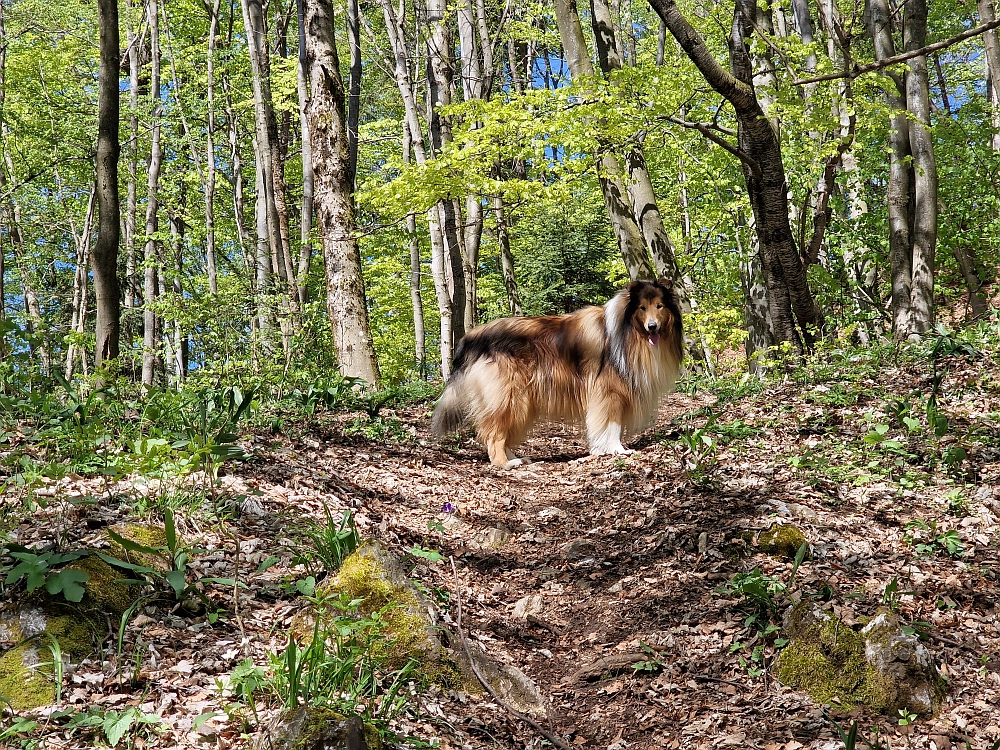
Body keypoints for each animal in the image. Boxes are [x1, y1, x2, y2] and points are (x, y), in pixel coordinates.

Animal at [434, 282, 684, 470]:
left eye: (660, 306)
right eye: (642, 307)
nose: (652, 327)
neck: (627, 331)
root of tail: (473, 337)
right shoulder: (608, 392)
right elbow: (612, 425)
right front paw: (617, 450)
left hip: (521, 402)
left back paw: (517, 458)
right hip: (508, 398)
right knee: (493, 434)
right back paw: (505, 464)